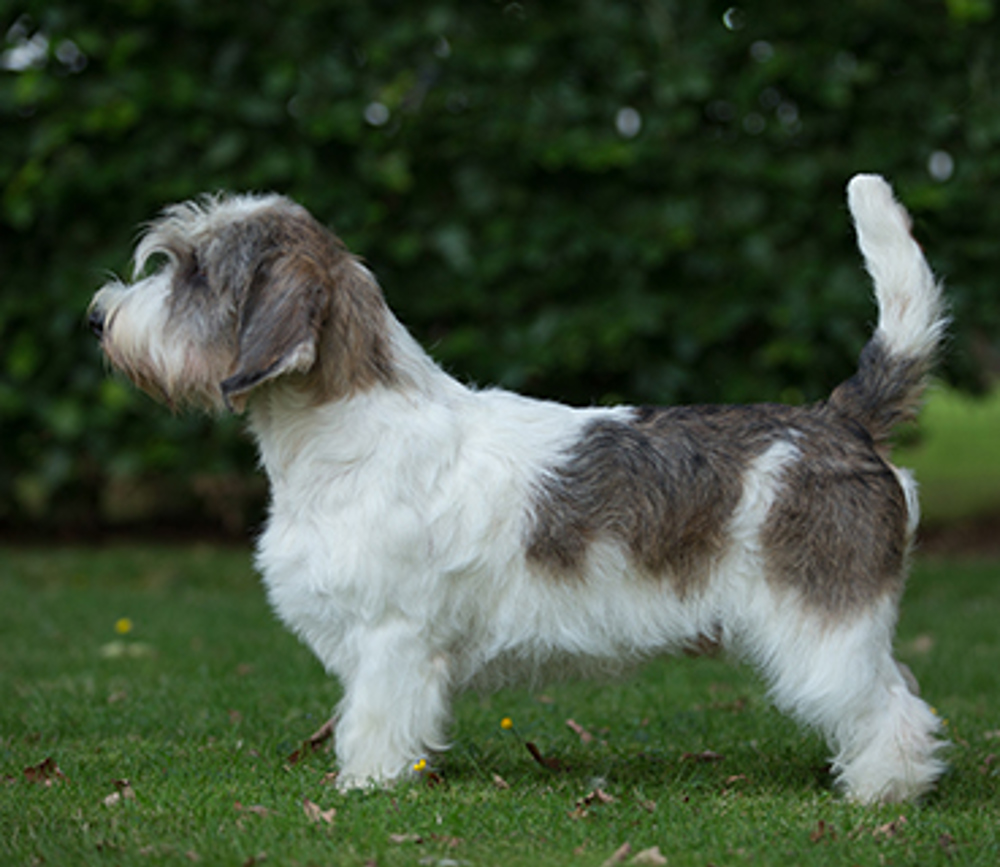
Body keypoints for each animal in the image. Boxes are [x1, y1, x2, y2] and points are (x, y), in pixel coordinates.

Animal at [90, 173, 948, 804]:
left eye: (194, 272)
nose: (99, 318)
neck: (350, 431)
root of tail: (840, 418)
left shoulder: (392, 637)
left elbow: (375, 719)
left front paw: (366, 785)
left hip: (825, 623)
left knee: (892, 705)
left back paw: (882, 791)